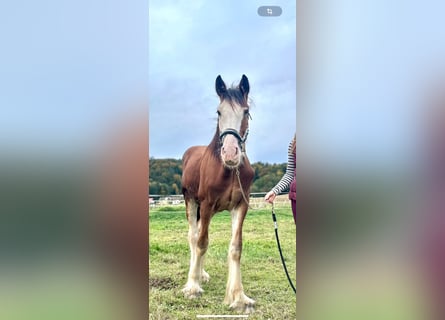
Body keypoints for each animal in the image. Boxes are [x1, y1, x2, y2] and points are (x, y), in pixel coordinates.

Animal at [180, 75, 255, 312]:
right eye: (219, 112)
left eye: (246, 111)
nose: (230, 154)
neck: (228, 171)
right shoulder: (205, 204)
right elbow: (201, 242)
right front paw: (192, 287)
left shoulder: (240, 206)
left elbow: (236, 247)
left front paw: (239, 297)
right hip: (192, 203)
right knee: (194, 236)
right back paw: (195, 276)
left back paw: (201, 273)